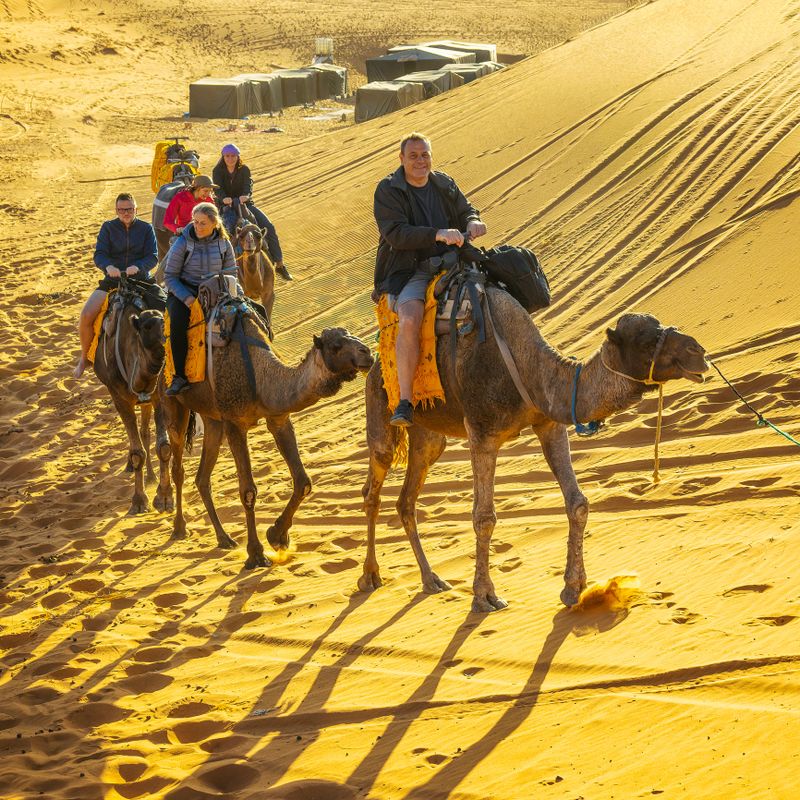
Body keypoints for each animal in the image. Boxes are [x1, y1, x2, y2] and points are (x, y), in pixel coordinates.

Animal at [92, 278, 173, 515]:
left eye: (164, 315)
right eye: (147, 326)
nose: (167, 334)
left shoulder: (159, 394)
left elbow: (163, 446)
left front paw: (164, 497)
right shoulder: (119, 398)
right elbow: (138, 453)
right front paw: (139, 500)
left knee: (145, 431)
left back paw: (152, 477)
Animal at [157, 302, 374, 569]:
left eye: (350, 334)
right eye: (335, 346)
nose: (367, 353)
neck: (261, 378)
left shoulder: (278, 418)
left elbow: (303, 481)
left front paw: (277, 536)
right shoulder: (234, 423)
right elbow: (248, 491)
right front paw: (256, 554)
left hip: (212, 420)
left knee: (202, 477)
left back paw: (224, 538)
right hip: (173, 403)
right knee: (178, 466)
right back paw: (179, 528)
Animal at [359, 288, 708, 612]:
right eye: (646, 341)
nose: (699, 351)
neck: (527, 368)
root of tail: (375, 362)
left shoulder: (549, 423)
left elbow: (578, 503)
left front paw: (573, 588)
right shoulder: (482, 434)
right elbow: (483, 517)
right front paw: (484, 596)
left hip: (428, 436)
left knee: (407, 500)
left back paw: (431, 579)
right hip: (381, 407)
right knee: (374, 485)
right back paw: (370, 575)